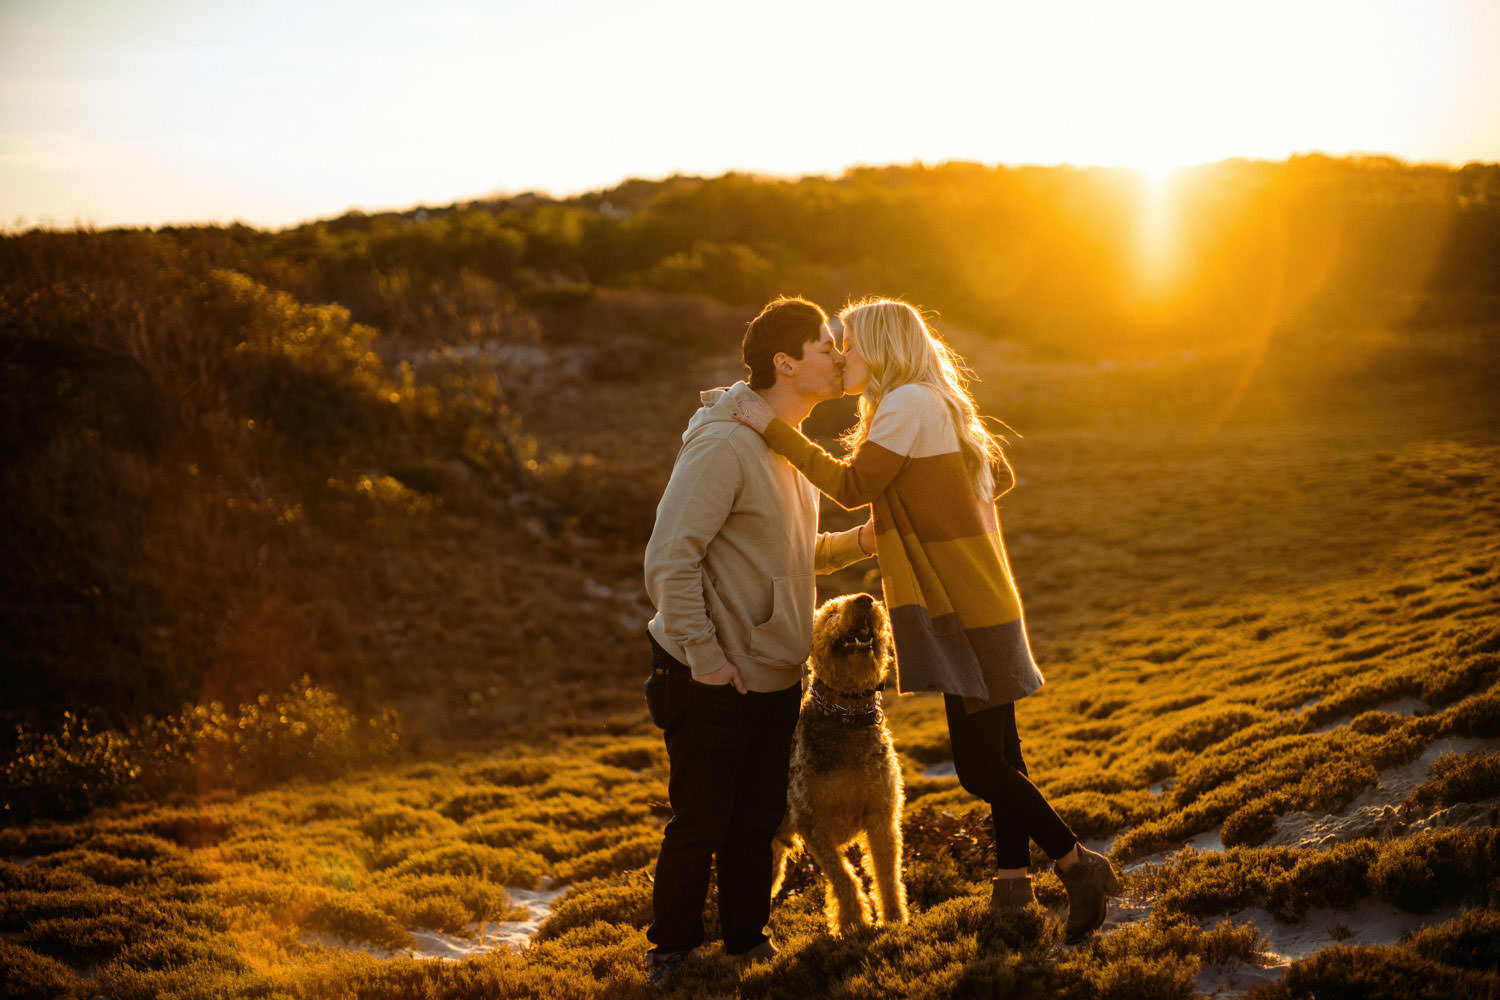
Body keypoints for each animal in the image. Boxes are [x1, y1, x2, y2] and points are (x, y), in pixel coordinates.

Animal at [768, 593, 906, 929]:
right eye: (830, 613)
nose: (865, 600)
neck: (848, 717)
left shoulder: (881, 815)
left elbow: (886, 874)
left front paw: (894, 917)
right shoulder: (813, 824)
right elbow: (843, 877)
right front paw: (852, 921)